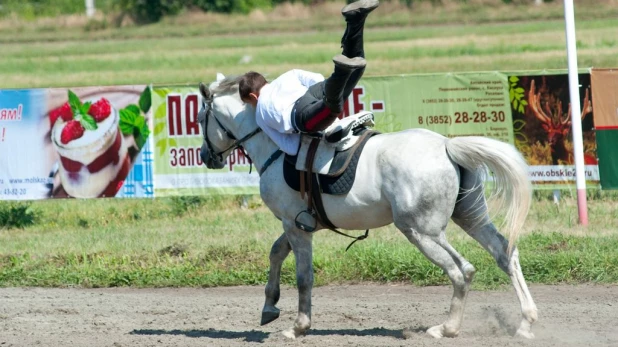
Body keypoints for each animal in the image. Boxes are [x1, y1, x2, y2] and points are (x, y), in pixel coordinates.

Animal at [196, 75, 536, 340]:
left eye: (200, 120)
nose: (205, 156)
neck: (275, 149)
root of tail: (446, 145)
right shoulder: (298, 223)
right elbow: (276, 252)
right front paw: (269, 306)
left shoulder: (295, 226)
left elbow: (304, 276)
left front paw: (298, 326)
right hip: (469, 217)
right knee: (505, 253)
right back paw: (525, 322)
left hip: (421, 231)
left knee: (462, 270)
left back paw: (446, 328)